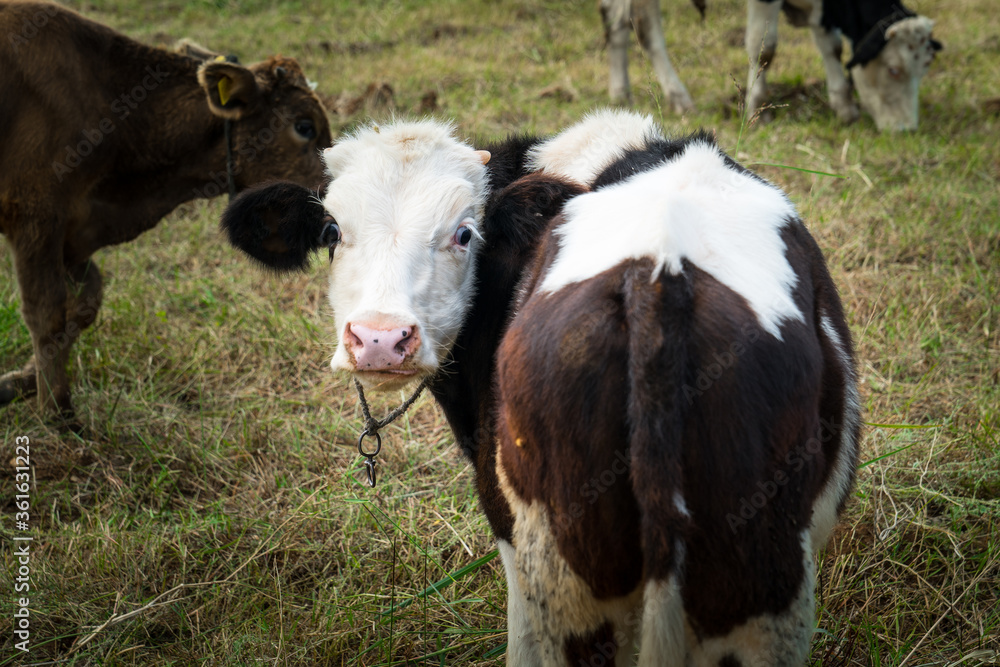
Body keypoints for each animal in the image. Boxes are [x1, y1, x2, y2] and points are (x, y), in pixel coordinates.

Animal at [0, 1, 336, 422]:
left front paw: (20, 381)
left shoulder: (73, 235)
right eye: (304, 126)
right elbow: (46, 313)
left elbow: (85, 303)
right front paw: (57, 411)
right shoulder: (36, 217)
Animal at [748, 0, 940, 131]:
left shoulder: (825, 12)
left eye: (925, 67)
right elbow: (764, 47)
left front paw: (844, 106)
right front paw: (756, 107)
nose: (907, 129)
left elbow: (833, 47)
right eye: (893, 70)